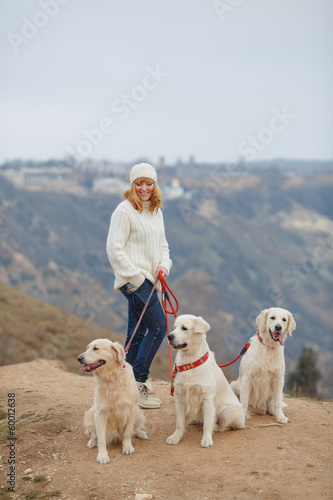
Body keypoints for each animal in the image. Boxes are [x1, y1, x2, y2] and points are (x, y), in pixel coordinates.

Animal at [165, 314, 244, 448]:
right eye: (174, 327)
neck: (190, 362)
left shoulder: (207, 398)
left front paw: (207, 439)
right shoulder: (180, 397)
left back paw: (216, 427)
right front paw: (176, 437)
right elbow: (179, 422)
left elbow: (207, 423)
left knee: (228, 425)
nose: (169, 336)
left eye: (184, 328)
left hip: (228, 411)